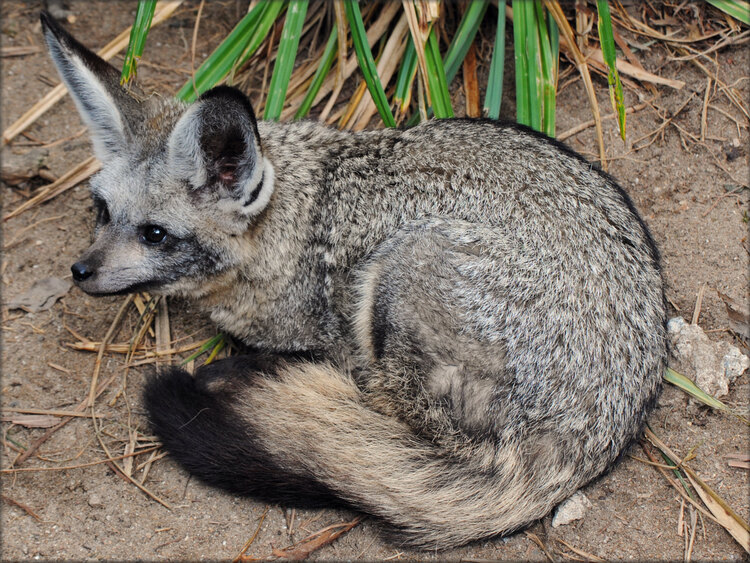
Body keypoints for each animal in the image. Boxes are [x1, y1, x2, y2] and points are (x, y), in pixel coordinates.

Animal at [41, 9, 668, 552]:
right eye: (101, 212)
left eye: (155, 234)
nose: (80, 272)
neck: (298, 222)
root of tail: (582, 437)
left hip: (403, 269)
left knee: (384, 419)